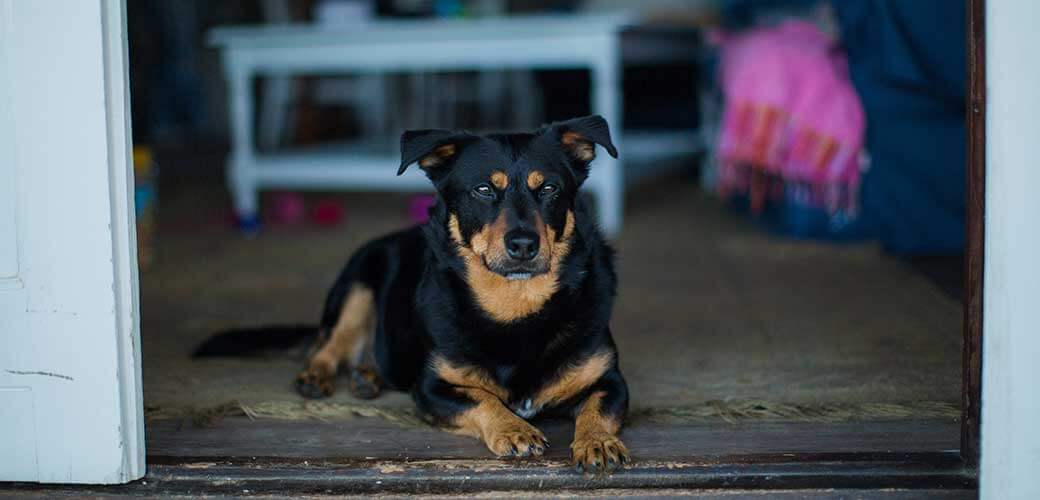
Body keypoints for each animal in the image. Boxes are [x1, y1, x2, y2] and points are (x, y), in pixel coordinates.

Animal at [198, 113, 628, 471]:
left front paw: (597, 440)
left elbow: (596, 408)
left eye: (550, 188)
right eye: (484, 189)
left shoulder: (610, 380)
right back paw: (318, 376)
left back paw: (367, 375)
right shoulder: (432, 388)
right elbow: (482, 398)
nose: (523, 244)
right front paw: (514, 428)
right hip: (358, 282)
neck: (515, 308)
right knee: (329, 343)